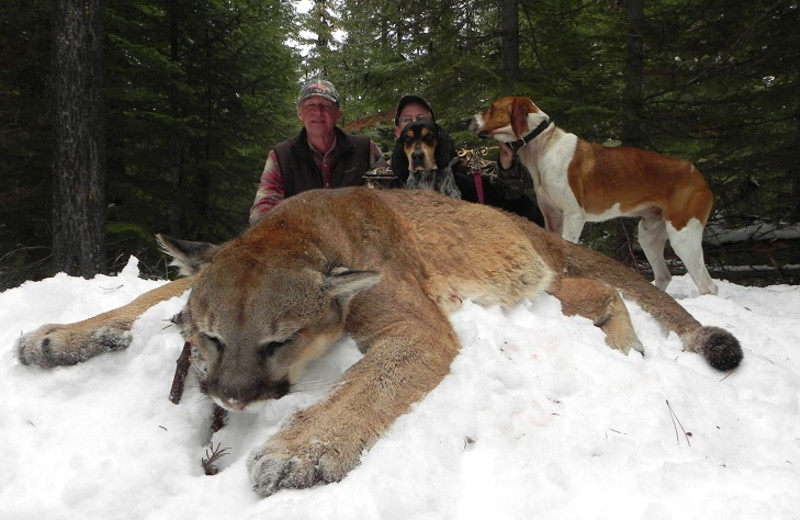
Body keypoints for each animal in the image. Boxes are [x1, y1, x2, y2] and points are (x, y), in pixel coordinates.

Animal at [14, 187, 744, 496]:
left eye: (280, 343)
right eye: (212, 338)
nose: (230, 398)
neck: (305, 228)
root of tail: (523, 221)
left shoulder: (417, 327)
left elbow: (371, 380)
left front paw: (302, 451)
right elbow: (151, 297)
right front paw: (58, 337)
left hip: (537, 288)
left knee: (607, 294)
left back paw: (626, 354)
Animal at [468, 95, 720, 294]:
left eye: (491, 107)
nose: (468, 120)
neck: (544, 145)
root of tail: (698, 177)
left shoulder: (573, 216)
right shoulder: (552, 217)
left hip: (683, 235)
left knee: (708, 286)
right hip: (649, 235)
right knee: (664, 276)